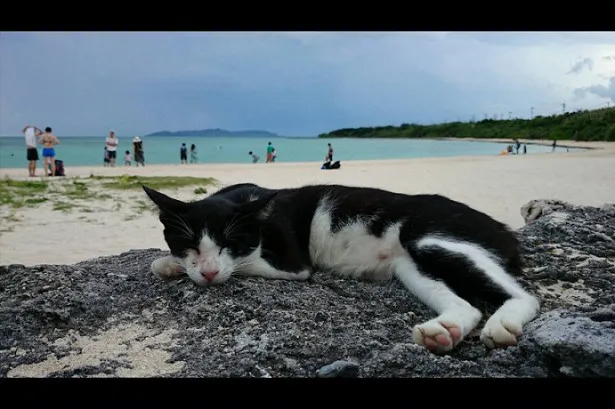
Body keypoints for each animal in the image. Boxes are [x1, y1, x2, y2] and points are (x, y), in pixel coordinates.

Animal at [143, 183, 540, 352]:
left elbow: (247, 265)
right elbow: (169, 260)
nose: (209, 272)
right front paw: (171, 263)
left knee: (527, 297)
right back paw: (444, 332)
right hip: (410, 266)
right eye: (190, 244)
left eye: (231, 245)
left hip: (431, 237)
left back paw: (503, 324)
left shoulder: (292, 261)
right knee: (467, 306)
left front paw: (179, 266)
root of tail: (501, 227)